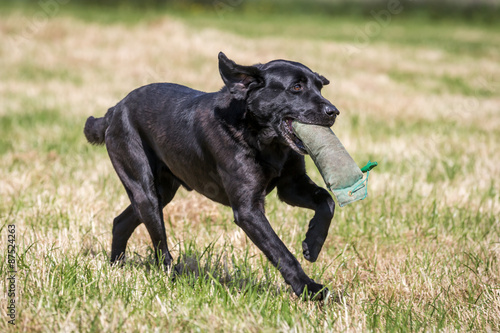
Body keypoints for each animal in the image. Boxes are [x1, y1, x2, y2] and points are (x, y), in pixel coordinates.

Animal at [85, 52, 340, 298]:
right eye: (296, 87)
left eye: (320, 87)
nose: (334, 112)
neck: (260, 138)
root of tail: (114, 110)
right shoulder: (248, 209)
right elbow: (280, 251)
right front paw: (310, 289)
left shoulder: (291, 186)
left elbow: (327, 202)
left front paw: (312, 245)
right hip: (144, 188)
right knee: (160, 248)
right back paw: (172, 278)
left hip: (162, 192)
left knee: (120, 222)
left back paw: (116, 267)